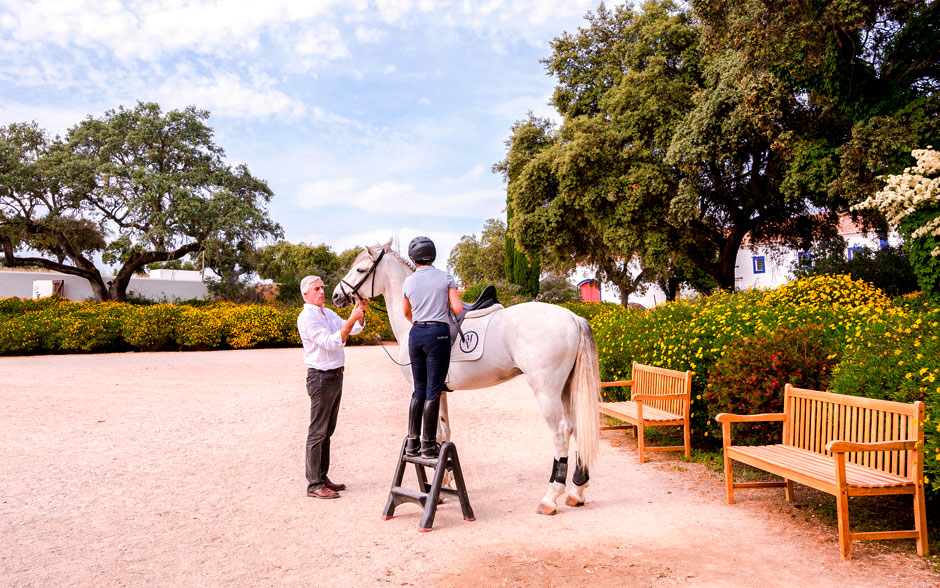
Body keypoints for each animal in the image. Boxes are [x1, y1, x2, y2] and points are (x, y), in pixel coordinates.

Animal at [334, 239, 600, 516]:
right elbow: (443, 431)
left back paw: (551, 496)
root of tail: (572, 317)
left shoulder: (424, 387)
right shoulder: (439, 391)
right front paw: (444, 478)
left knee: (561, 433)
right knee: (577, 428)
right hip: (566, 389)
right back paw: (577, 489)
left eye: (360, 270)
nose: (336, 296)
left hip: (546, 392)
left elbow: (434, 431)